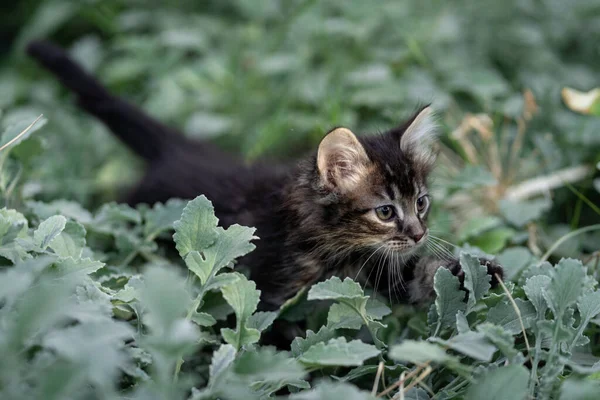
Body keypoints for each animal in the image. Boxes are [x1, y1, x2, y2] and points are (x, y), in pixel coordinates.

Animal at [28, 40, 502, 312]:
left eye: (421, 201)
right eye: (385, 211)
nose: (420, 234)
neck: (335, 246)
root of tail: (180, 148)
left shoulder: (380, 270)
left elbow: (421, 280)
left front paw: (472, 270)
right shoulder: (271, 289)